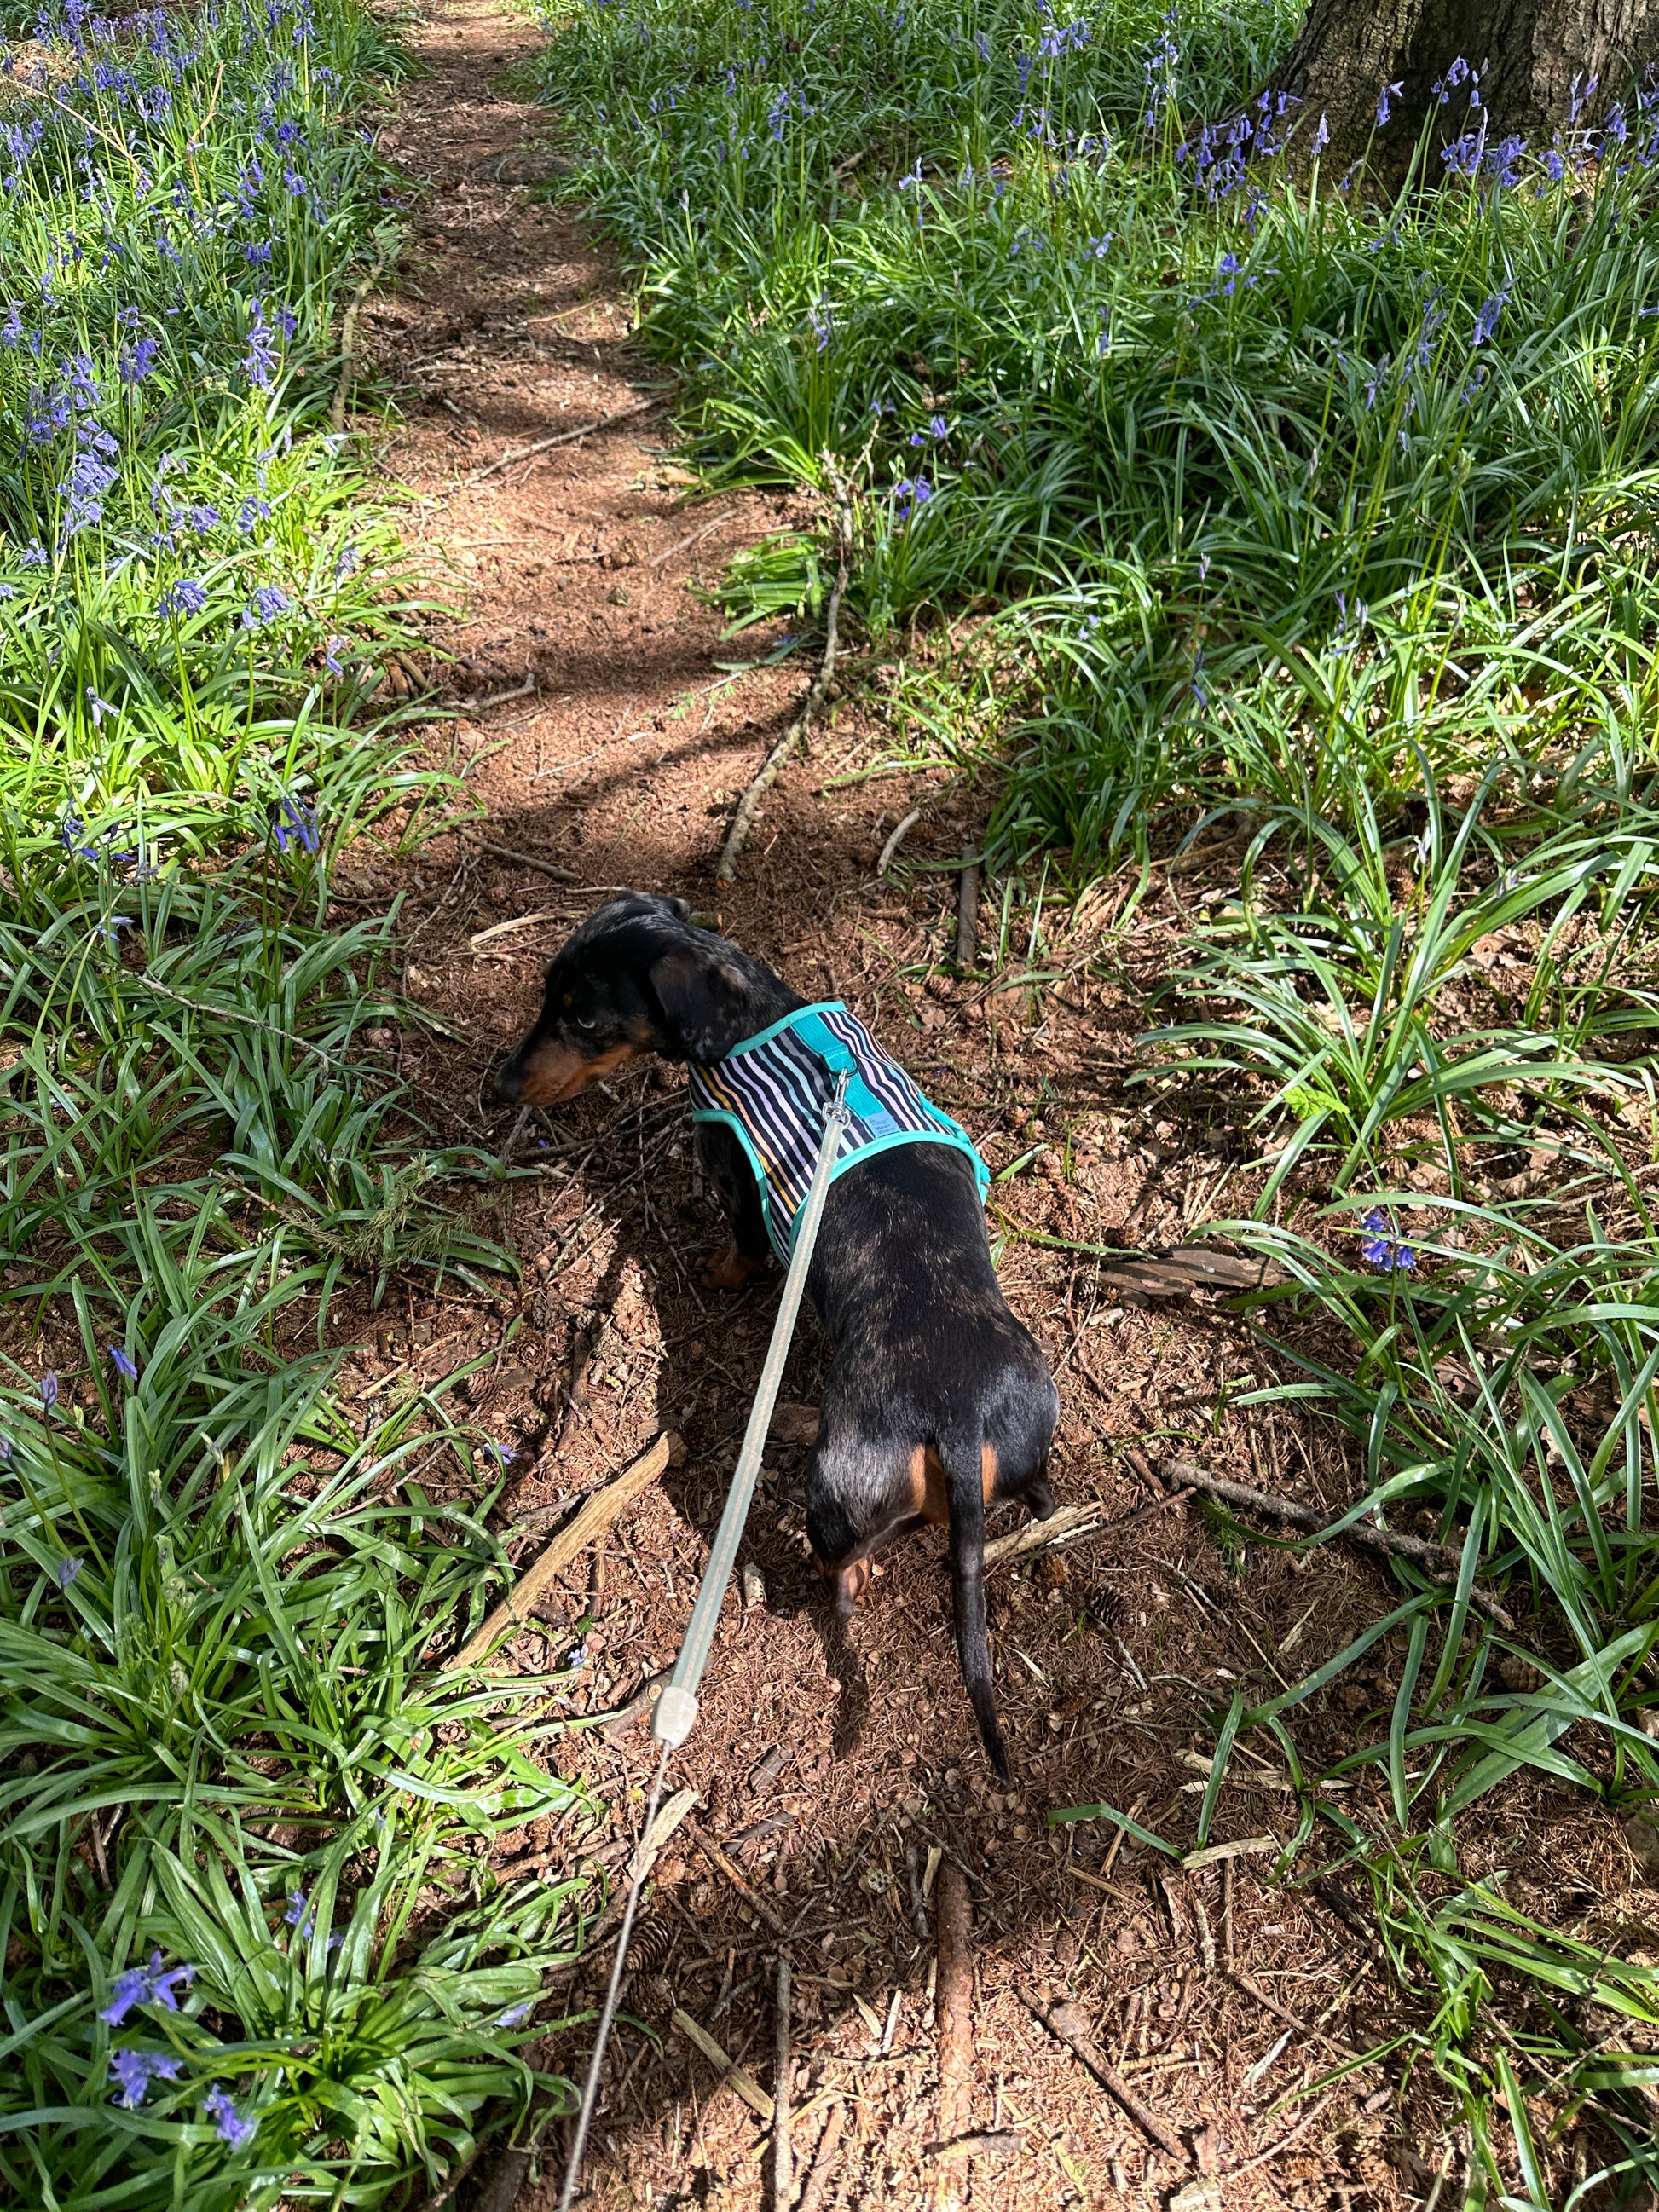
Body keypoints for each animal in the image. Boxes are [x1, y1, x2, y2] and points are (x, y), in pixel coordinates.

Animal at [497, 889, 1066, 1770]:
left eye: (584, 1018)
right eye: (544, 999)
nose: (501, 1086)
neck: (756, 1018)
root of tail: (957, 1413)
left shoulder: (735, 1185)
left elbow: (741, 1250)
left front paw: (715, 1272)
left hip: (833, 1493)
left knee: (842, 1571)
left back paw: (839, 1586)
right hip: (1029, 1432)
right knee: (1037, 1497)